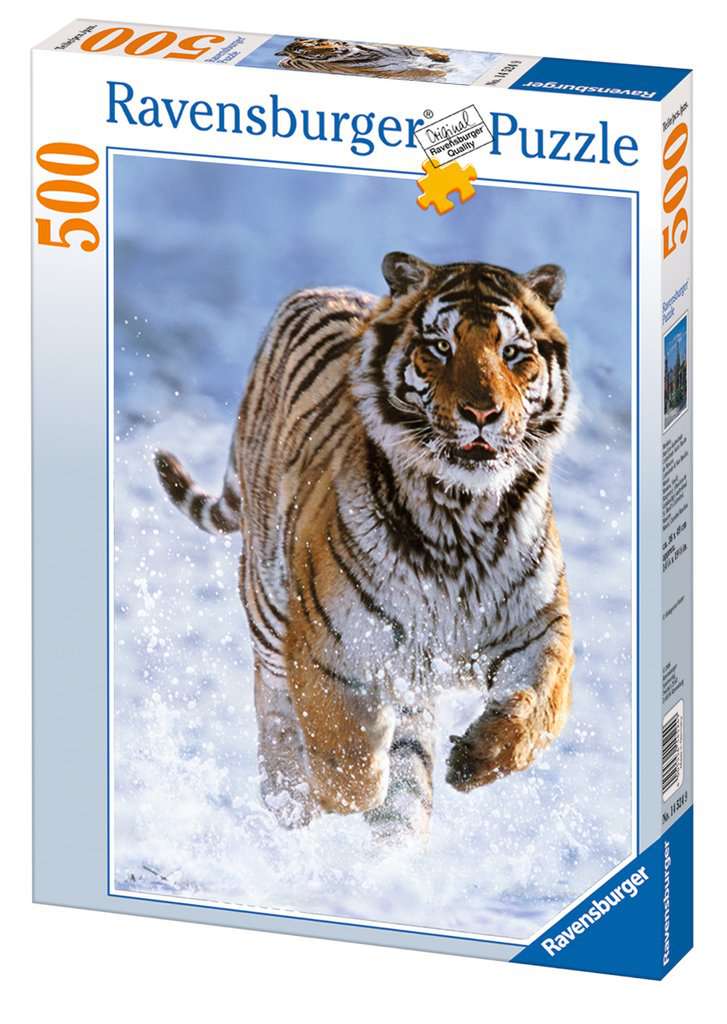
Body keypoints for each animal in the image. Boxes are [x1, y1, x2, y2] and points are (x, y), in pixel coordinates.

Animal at [155, 252, 575, 842]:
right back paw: (291, 799)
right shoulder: (327, 646)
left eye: (514, 353)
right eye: (439, 347)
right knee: (275, 709)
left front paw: (476, 759)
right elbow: (347, 763)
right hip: (268, 607)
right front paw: (339, 783)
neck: (460, 515)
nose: (482, 414)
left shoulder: (538, 627)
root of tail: (316, 289)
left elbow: (539, 707)